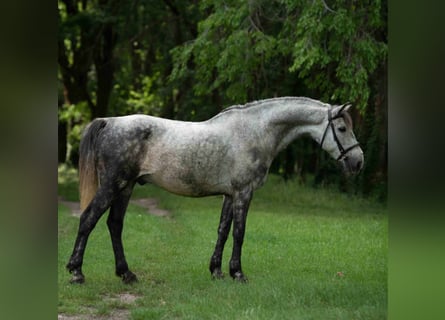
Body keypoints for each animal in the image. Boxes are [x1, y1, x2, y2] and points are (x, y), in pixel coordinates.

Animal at [67, 97, 364, 282]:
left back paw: (126, 274)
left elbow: (222, 230)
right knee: (88, 219)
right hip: (112, 185)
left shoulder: (229, 195)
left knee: (114, 225)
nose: (358, 161)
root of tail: (110, 121)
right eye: (341, 128)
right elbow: (239, 233)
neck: (255, 131)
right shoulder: (244, 192)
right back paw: (76, 272)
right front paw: (238, 274)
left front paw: (217, 271)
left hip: (126, 188)